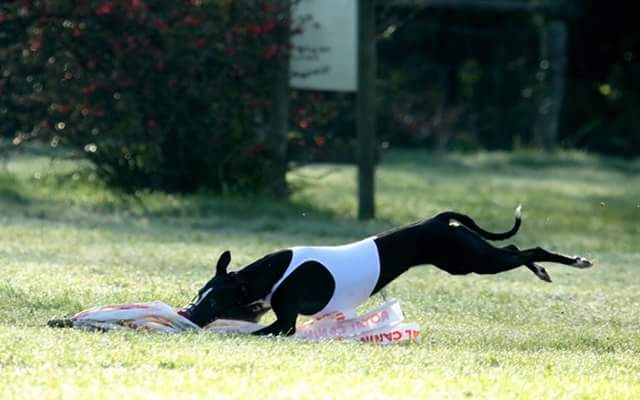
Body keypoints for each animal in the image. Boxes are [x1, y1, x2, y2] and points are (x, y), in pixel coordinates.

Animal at [179, 207, 593, 336]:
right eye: (198, 294)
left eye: (211, 299)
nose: (187, 313)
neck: (271, 273)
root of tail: (437, 219)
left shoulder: (285, 322)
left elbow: (259, 331)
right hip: (469, 259)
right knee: (514, 250)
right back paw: (543, 268)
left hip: (468, 262)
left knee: (524, 250)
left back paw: (571, 261)